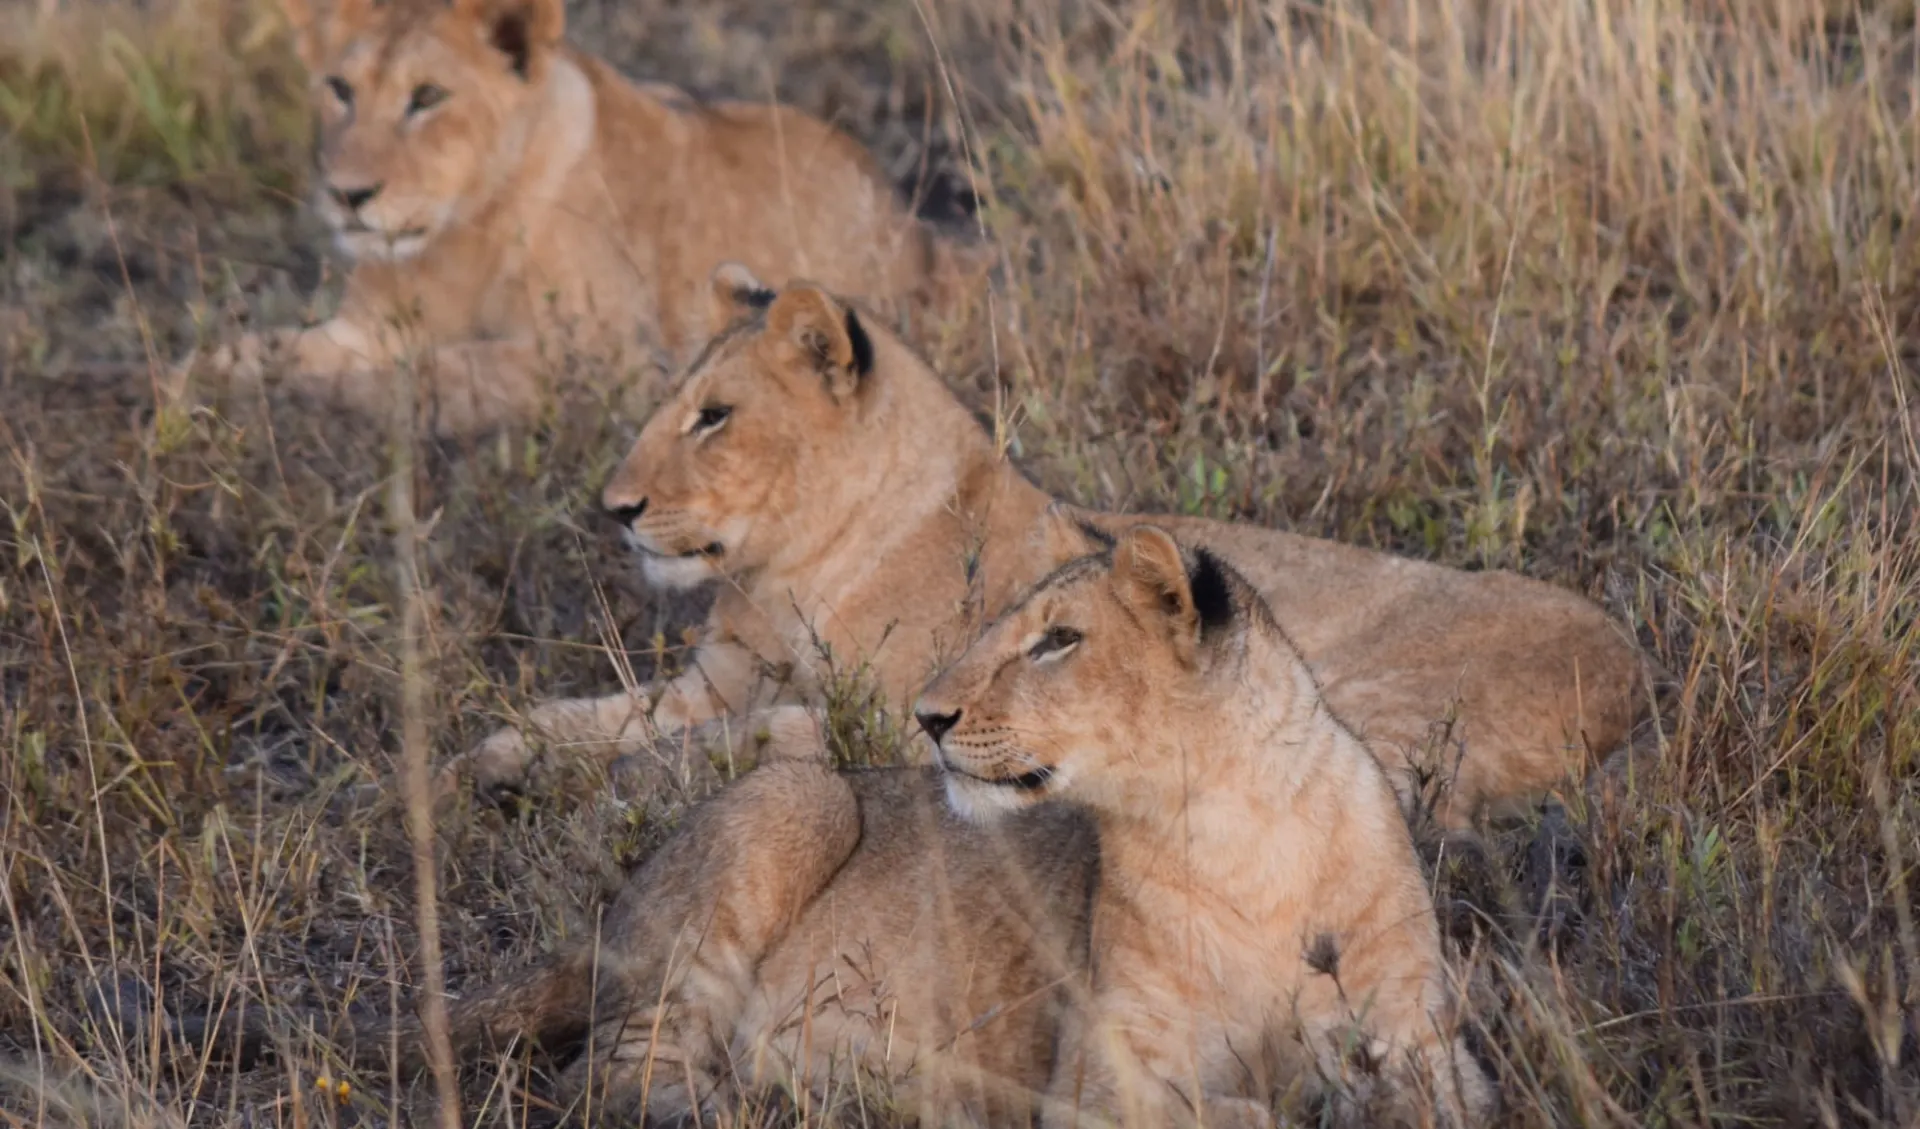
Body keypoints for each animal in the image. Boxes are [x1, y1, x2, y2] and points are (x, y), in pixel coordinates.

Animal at [176, 0, 940, 435]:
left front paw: (297, 401)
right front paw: (192, 391)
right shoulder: (360, 330)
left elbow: (430, 375)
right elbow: (240, 353)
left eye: (428, 96)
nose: (347, 194)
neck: (457, 237)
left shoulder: (613, 363)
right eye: (339, 89)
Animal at [456, 264, 1643, 829]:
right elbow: (593, 714)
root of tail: (1635, 670)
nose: (614, 507)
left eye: (714, 417)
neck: (787, 573)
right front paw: (493, 762)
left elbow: (764, 736)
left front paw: (629, 784)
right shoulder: (711, 678)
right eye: (674, 405)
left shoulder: (898, 715)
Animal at [913, 526, 1497, 1121]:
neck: (1239, 841)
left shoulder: (1419, 1032)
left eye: (1059, 638)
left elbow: (1437, 1098)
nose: (926, 716)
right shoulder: (1097, 1080)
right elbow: (1242, 1113)